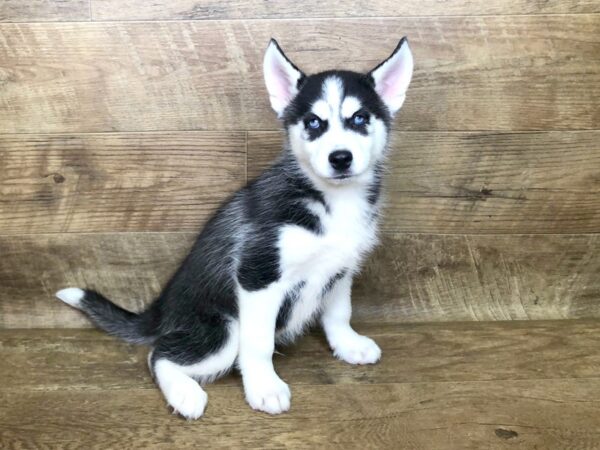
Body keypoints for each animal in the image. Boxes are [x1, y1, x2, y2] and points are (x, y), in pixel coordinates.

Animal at [55, 37, 412, 420]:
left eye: (359, 118)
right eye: (314, 123)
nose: (340, 158)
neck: (331, 199)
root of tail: (161, 310)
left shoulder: (341, 269)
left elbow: (339, 313)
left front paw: (348, 345)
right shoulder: (258, 276)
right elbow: (258, 343)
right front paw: (264, 387)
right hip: (223, 329)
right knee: (159, 354)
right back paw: (184, 394)